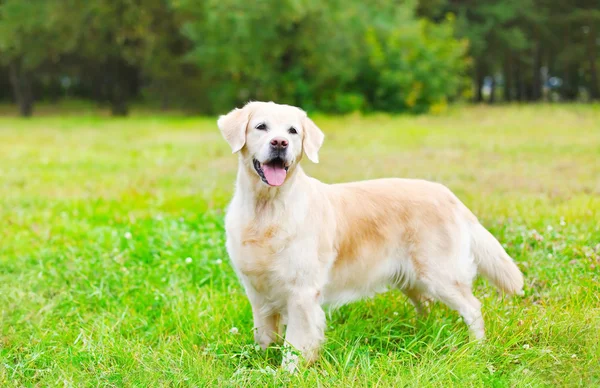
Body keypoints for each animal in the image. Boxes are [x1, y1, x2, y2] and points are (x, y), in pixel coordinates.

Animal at [218, 101, 524, 372]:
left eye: (293, 131)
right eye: (261, 126)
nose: (280, 143)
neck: (266, 210)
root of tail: (449, 195)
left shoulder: (302, 293)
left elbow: (295, 344)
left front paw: (288, 374)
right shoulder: (257, 292)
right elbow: (264, 336)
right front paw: (261, 361)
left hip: (441, 274)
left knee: (473, 308)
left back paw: (476, 348)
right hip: (414, 278)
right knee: (426, 305)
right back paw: (422, 332)